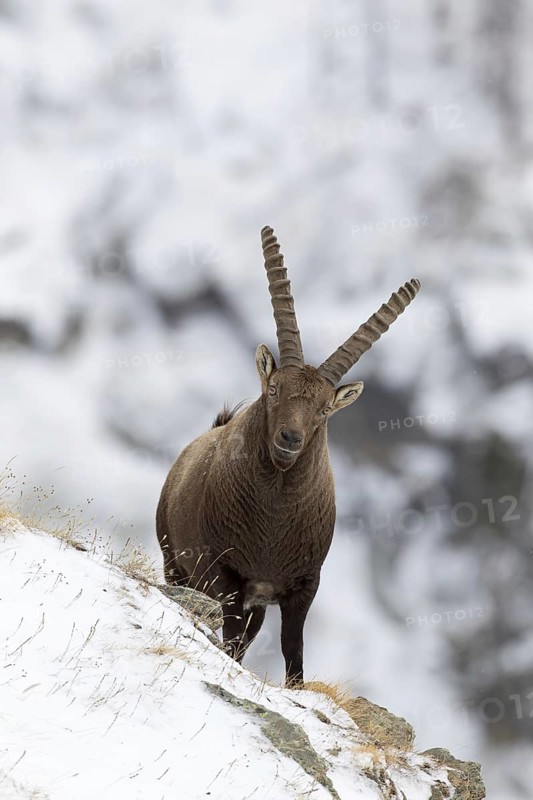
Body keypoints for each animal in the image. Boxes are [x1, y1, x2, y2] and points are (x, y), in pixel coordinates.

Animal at [156, 226, 420, 685]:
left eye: (325, 409)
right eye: (275, 389)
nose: (290, 439)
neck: (272, 524)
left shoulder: (303, 586)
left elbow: (293, 652)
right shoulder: (224, 573)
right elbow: (230, 638)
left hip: (255, 603)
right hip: (175, 559)